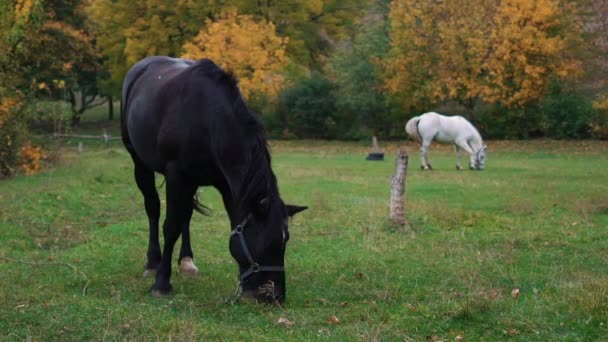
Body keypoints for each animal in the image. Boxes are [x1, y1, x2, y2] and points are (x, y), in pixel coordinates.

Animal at [121, 56, 306, 304]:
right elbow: (170, 226)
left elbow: (185, 219)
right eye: (267, 241)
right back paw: (152, 262)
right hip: (140, 163)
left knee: (186, 215)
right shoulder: (177, 175)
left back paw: (187, 262)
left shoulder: (225, 186)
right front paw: (161, 283)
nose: (275, 295)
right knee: (152, 208)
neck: (208, 119)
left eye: (285, 241)